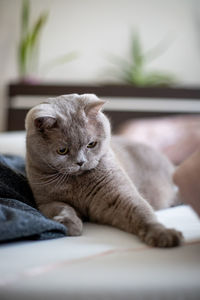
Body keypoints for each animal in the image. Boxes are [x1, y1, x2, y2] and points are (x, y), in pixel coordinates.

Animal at [25, 92, 183, 247]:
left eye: (91, 144)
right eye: (62, 151)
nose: (80, 162)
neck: (77, 184)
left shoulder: (119, 195)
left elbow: (141, 211)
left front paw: (162, 234)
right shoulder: (45, 201)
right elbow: (62, 207)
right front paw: (69, 224)